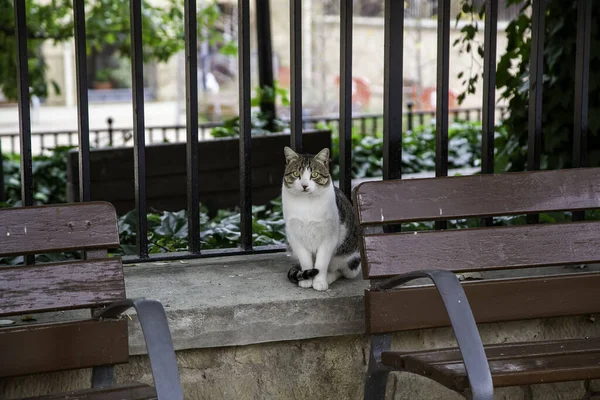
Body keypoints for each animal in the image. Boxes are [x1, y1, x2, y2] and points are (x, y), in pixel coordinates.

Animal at [282, 145, 360, 290]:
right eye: (296, 174)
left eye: (314, 175)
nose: (304, 185)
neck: (306, 203)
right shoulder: (294, 235)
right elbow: (306, 261)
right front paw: (307, 280)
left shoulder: (329, 237)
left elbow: (321, 263)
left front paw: (319, 281)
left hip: (350, 259)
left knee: (340, 271)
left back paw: (329, 277)